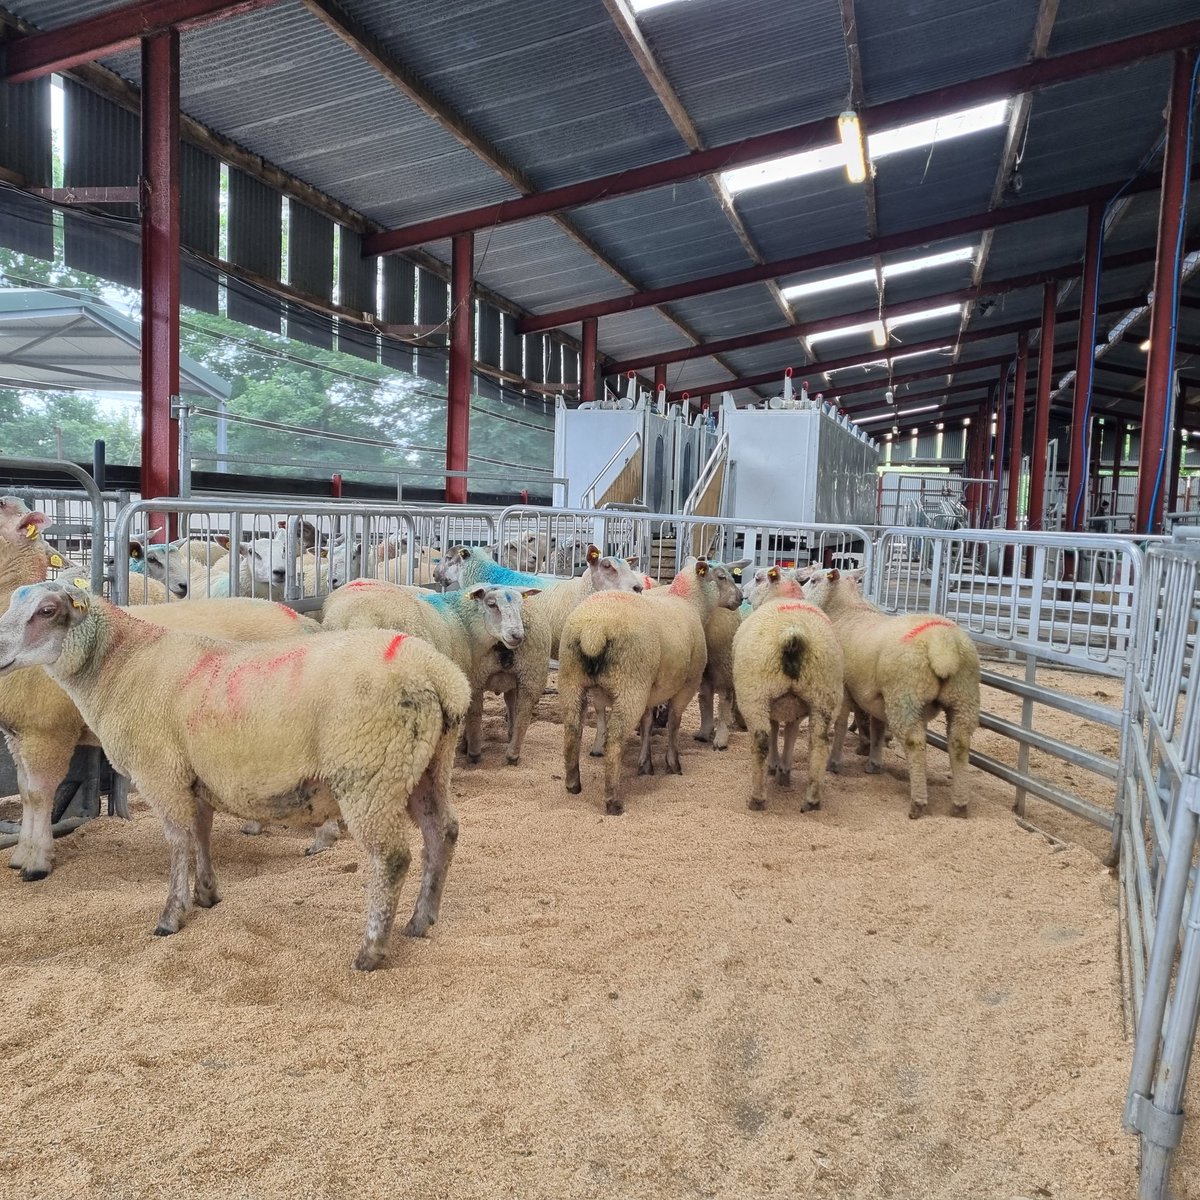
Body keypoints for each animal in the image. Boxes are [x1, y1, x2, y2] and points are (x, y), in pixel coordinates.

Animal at [0, 497, 327, 881]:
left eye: (47, 610)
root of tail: (301, 620)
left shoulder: (47, 732)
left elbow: (38, 795)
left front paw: (37, 861)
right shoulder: (18, 734)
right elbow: (24, 792)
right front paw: (21, 854)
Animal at [0, 581, 470, 971]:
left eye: (46, 610)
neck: (118, 666)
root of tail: (440, 676)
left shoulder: (160, 773)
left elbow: (179, 842)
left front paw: (171, 915)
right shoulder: (195, 776)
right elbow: (201, 834)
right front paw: (207, 894)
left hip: (368, 772)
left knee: (392, 857)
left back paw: (371, 949)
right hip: (426, 766)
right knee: (442, 832)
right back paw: (421, 920)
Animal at [558, 557, 740, 815]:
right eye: (722, 577)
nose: (741, 598)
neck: (690, 603)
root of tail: (594, 630)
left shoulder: (651, 689)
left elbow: (646, 724)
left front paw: (645, 764)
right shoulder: (687, 684)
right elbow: (673, 723)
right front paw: (672, 763)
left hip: (573, 679)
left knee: (573, 729)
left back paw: (573, 784)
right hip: (629, 683)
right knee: (615, 738)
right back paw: (613, 801)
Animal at [732, 567, 845, 813]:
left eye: (757, 578)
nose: (743, 591)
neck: (783, 596)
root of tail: (794, 636)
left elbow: (775, 732)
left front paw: (775, 766)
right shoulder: (795, 709)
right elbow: (790, 733)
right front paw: (784, 770)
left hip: (755, 693)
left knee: (761, 741)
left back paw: (757, 798)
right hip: (824, 694)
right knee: (819, 742)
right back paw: (812, 799)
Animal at [802, 568, 981, 819]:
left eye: (814, 580)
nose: (800, 593)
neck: (847, 611)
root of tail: (942, 643)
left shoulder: (844, 687)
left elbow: (841, 725)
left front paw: (835, 763)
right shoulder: (875, 697)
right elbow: (877, 728)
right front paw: (874, 763)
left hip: (905, 695)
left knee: (915, 743)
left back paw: (918, 803)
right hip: (964, 695)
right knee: (960, 743)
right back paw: (959, 805)